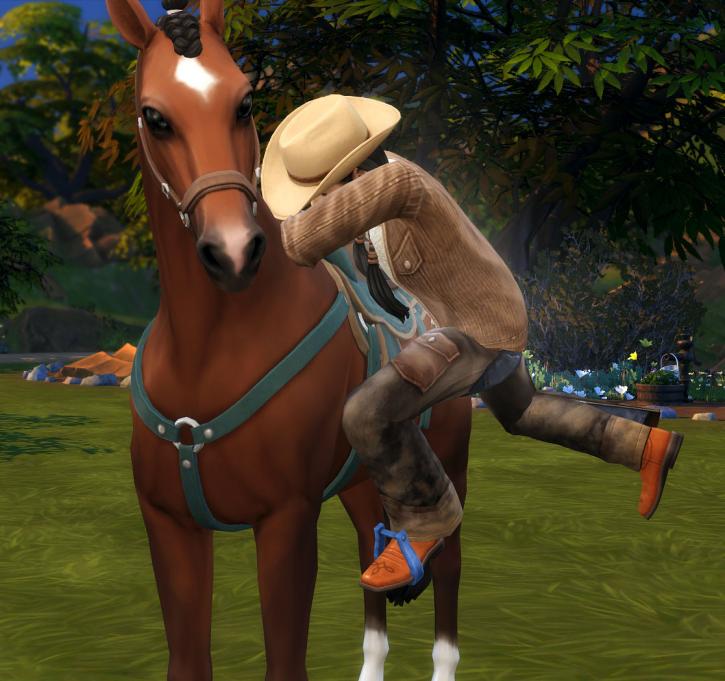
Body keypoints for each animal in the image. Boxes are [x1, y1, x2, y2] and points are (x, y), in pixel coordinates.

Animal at [107, 1, 472, 679]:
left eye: (245, 102)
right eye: (154, 116)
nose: (233, 251)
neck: (210, 349)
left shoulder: (287, 519)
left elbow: (285, 657)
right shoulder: (168, 525)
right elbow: (187, 656)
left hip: (450, 464)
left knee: (452, 572)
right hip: (358, 481)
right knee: (371, 554)